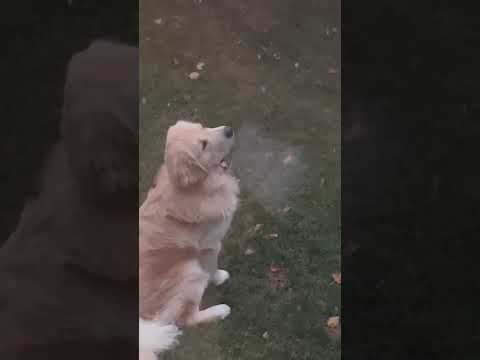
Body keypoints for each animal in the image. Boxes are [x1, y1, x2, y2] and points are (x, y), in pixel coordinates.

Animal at [138, 120, 239, 358]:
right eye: (203, 145)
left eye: (203, 128)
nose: (229, 130)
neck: (198, 188)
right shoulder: (210, 246)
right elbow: (211, 267)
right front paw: (218, 277)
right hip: (188, 271)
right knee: (186, 320)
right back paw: (220, 310)